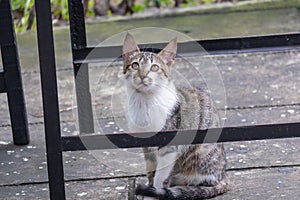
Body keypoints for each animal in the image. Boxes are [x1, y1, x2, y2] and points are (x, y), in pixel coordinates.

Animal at [122, 33, 230, 200]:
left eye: (154, 67)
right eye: (135, 65)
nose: (143, 75)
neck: (143, 102)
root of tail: (223, 174)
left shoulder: (170, 146)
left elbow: (161, 175)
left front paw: (155, 191)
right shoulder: (146, 146)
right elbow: (151, 169)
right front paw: (150, 186)